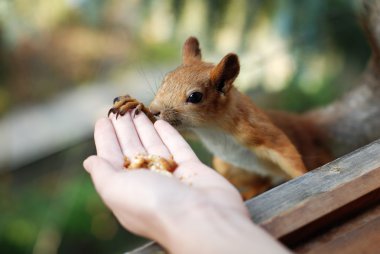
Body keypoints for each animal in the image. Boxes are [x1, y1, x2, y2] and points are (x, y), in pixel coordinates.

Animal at [109, 1, 380, 198]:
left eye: (195, 97)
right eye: (165, 78)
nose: (156, 109)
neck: (212, 127)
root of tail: (310, 126)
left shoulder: (254, 128)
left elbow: (286, 152)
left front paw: (303, 176)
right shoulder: (192, 129)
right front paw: (136, 105)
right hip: (226, 165)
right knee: (263, 180)